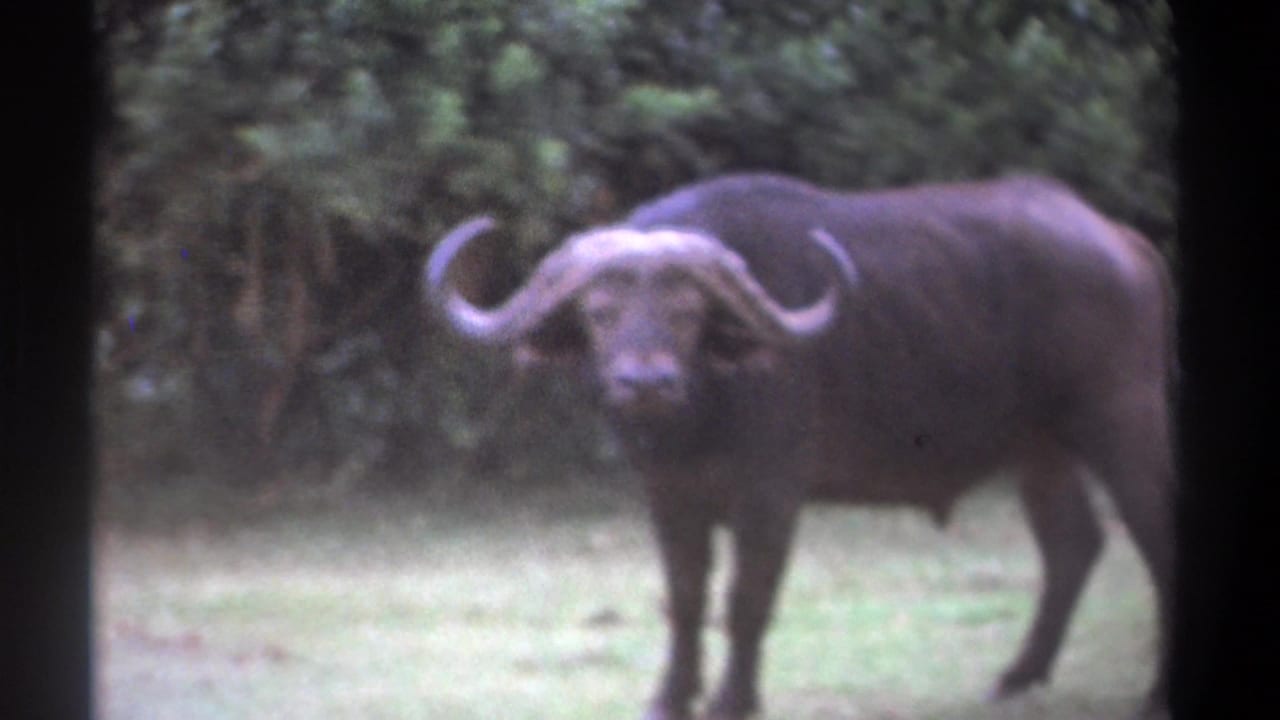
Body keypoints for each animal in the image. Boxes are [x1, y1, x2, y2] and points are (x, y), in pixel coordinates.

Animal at [426, 174, 1175, 720]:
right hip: (1040, 447)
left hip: (1123, 419)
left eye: (688, 311)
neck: (702, 413)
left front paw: (733, 700)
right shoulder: (668, 496)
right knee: (1073, 544)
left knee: (1152, 538)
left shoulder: (770, 495)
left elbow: (745, 600)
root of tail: (1123, 242)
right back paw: (1017, 677)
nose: (646, 382)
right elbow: (685, 598)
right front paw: (670, 697)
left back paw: (1154, 691)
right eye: (599, 312)